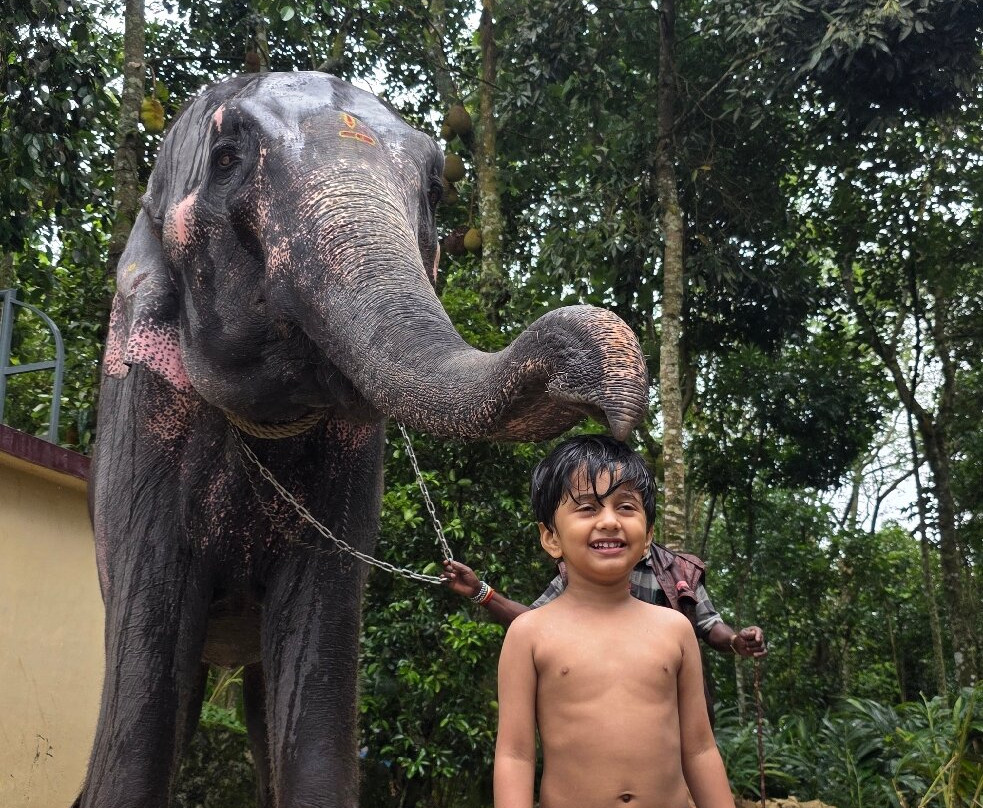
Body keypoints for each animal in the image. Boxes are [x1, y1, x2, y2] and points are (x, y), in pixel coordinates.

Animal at [76, 71, 647, 808]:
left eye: (435, 190)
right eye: (226, 158)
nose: (610, 399)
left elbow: (318, 652)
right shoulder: (141, 411)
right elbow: (148, 666)